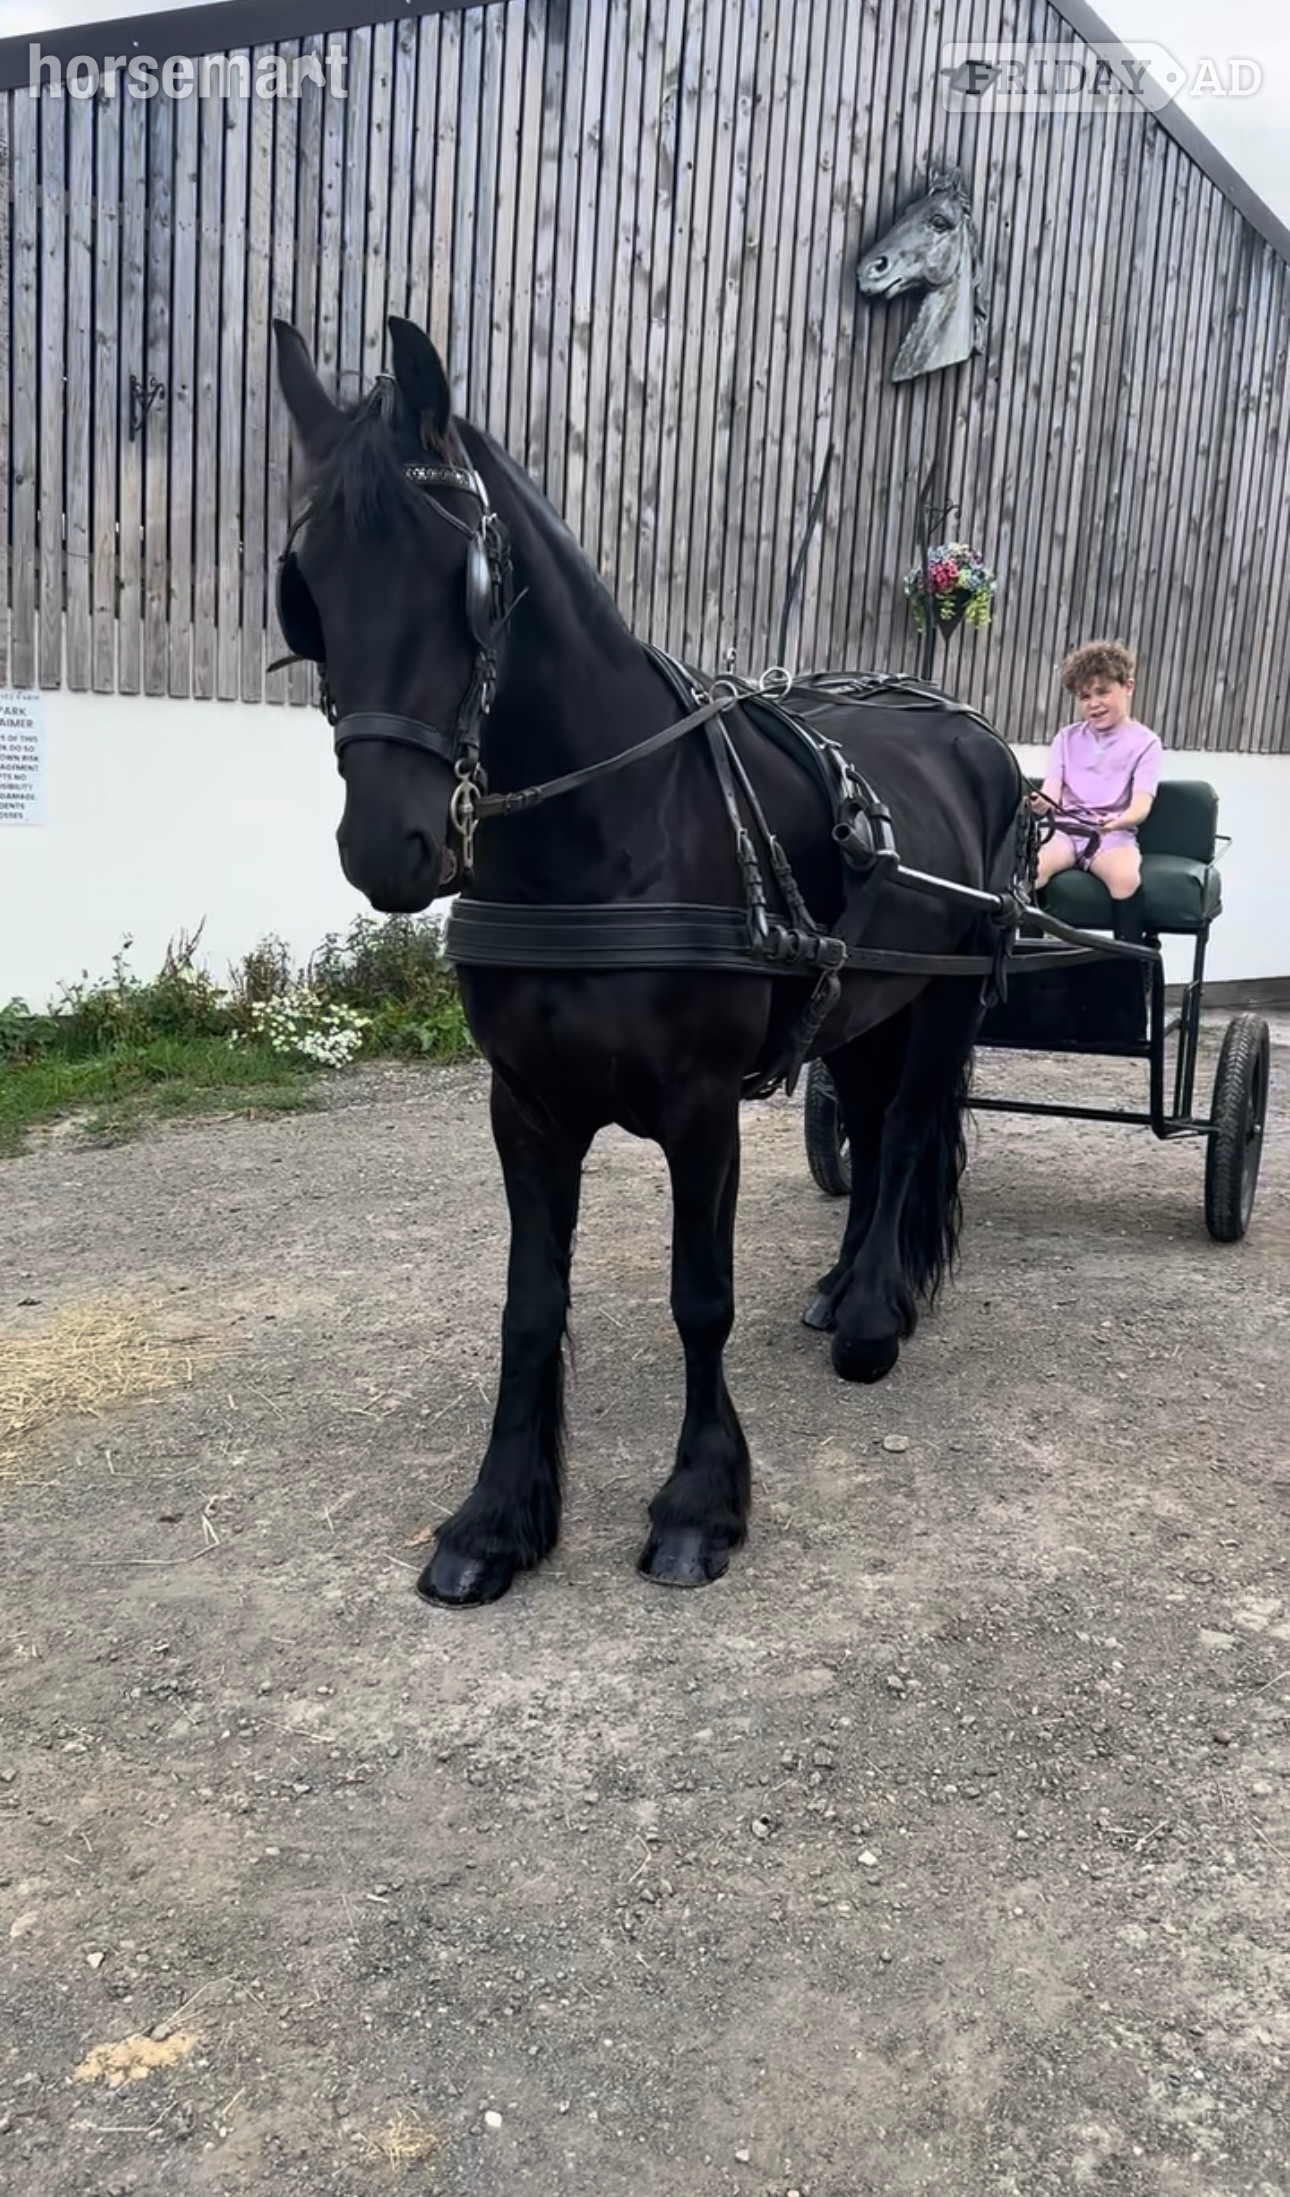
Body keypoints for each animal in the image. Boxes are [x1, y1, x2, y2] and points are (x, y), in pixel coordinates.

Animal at [271, 314, 1026, 1607]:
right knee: (873, 1123)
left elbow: (698, 1298)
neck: (607, 828)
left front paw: (698, 1506)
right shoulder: (524, 1106)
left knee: (909, 1135)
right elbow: (529, 1305)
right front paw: (495, 1519)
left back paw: (874, 1318)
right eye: (307, 588)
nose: (387, 845)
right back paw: (839, 1292)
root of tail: (972, 732)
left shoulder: (700, 1106)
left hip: (944, 1003)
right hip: (865, 1004)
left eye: (463, 580)